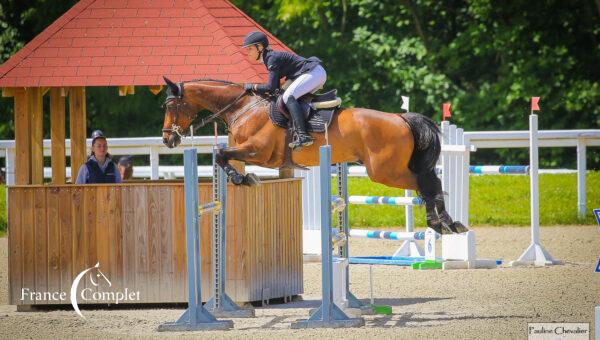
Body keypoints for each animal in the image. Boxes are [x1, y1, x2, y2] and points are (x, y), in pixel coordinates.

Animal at [162, 78, 466, 235]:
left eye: (171, 106)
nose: (168, 139)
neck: (244, 108)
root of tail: (401, 118)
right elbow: (222, 155)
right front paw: (243, 178)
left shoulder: (259, 152)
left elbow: (221, 155)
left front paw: (243, 179)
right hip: (389, 170)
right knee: (429, 184)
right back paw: (447, 223)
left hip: (384, 171)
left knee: (427, 185)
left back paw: (440, 223)